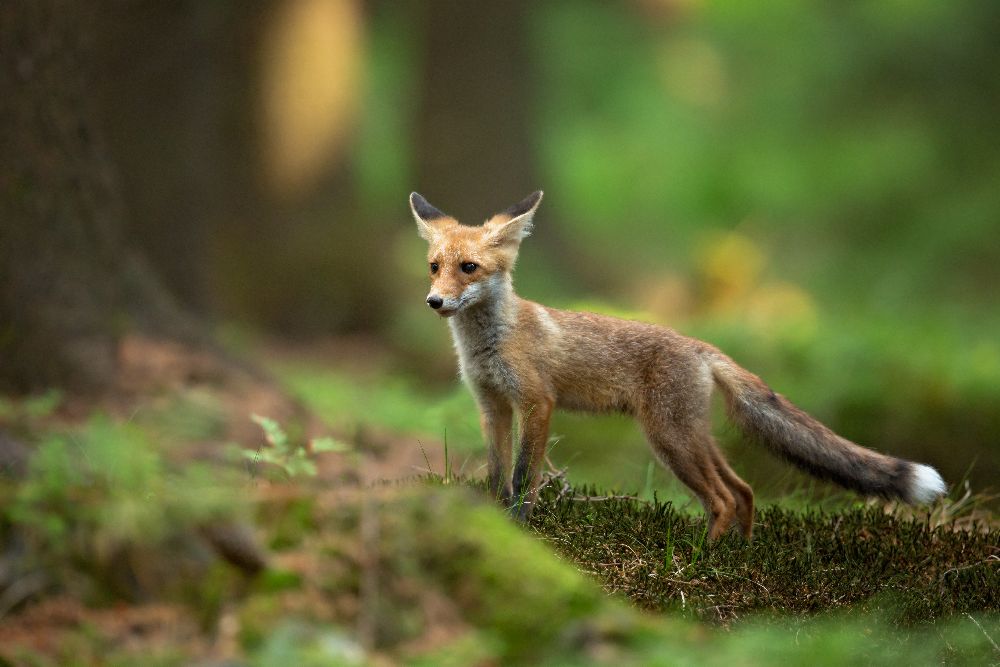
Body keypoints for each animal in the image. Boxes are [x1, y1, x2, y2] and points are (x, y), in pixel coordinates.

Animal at [410, 190, 948, 540]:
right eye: (435, 267)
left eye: (470, 269)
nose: (434, 301)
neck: (489, 344)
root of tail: (700, 345)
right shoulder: (492, 407)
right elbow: (497, 475)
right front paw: (494, 522)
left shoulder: (536, 404)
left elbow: (523, 478)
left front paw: (521, 529)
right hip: (688, 436)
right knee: (744, 490)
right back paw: (738, 555)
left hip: (669, 438)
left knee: (725, 497)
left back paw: (702, 560)